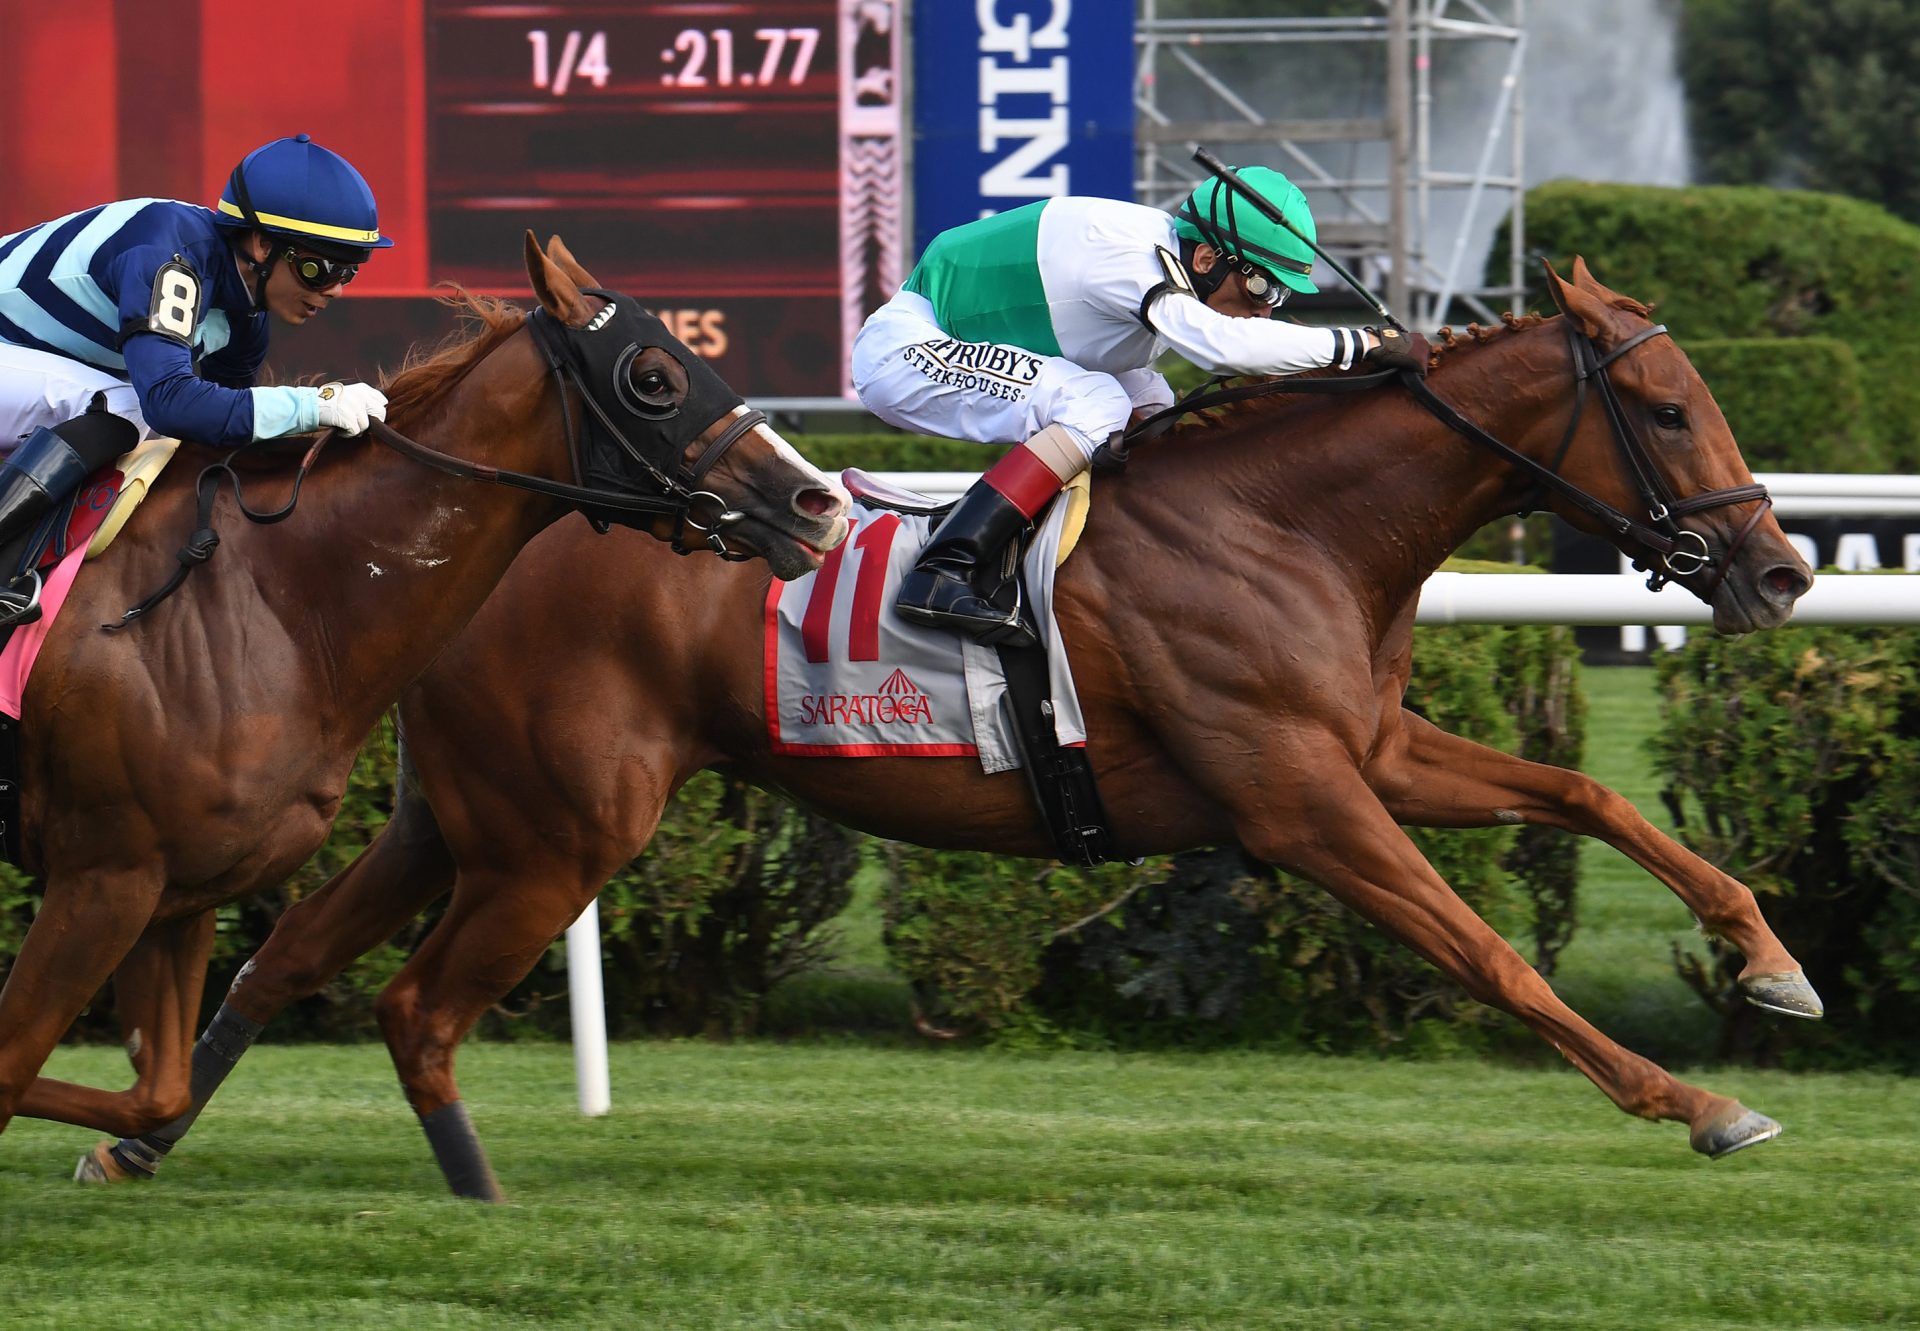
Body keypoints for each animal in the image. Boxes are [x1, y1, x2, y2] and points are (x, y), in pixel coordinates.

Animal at [0, 239, 848, 1152]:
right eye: (653, 377)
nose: (819, 502)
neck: (274, 598)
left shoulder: (180, 887)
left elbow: (151, 1092)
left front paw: (121, 1150)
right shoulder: (105, 874)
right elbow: (12, 1066)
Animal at [93, 257, 1812, 1190]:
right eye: (1669, 408)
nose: (1784, 569)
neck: (1290, 523)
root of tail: (491, 521)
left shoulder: (1370, 751)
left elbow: (1589, 799)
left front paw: (1768, 958)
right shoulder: (1298, 796)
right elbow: (1491, 952)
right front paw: (1701, 1103)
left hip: (458, 813)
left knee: (288, 952)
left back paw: (138, 1137)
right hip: (557, 829)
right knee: (403, 993)